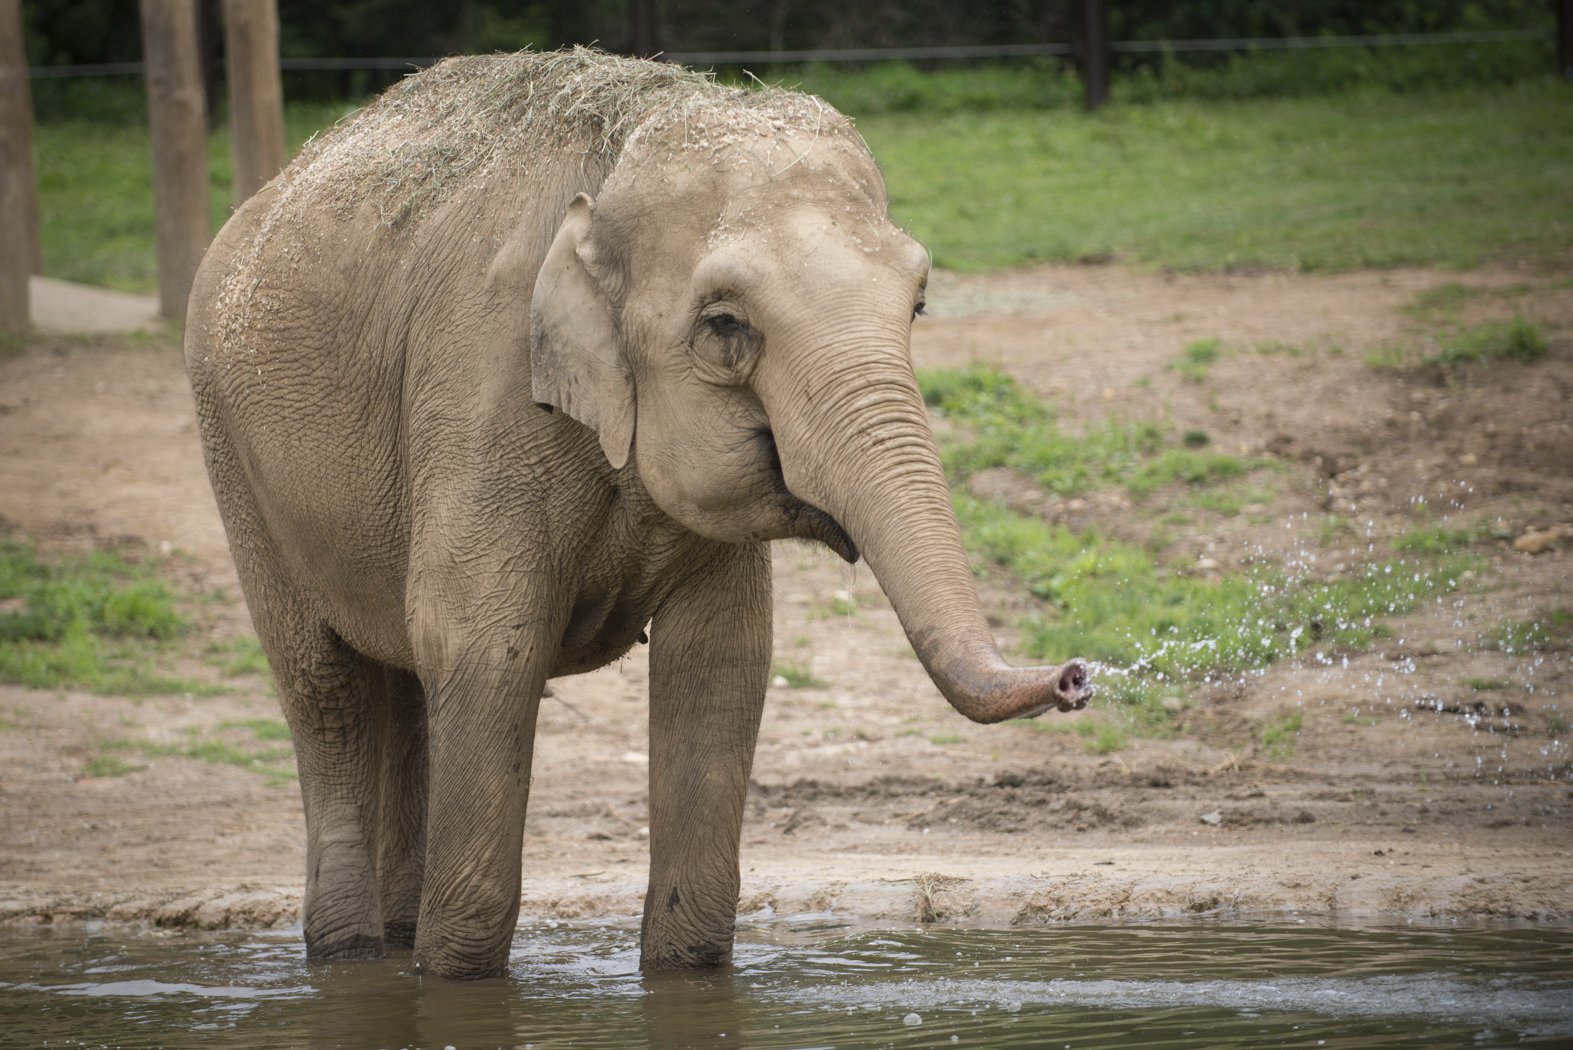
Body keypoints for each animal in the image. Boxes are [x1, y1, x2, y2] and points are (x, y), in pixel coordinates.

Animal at [183, 48, 1090, 981]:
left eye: (916, 305)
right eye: (724, 327)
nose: (1074, 677)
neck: (616, 163)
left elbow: (719, 661)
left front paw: (685, 972)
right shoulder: (479, 385)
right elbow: (484, 648)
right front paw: (456, 978)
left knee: (395, 682)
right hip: (233, 456)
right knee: (324, 684)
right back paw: (348, 954)